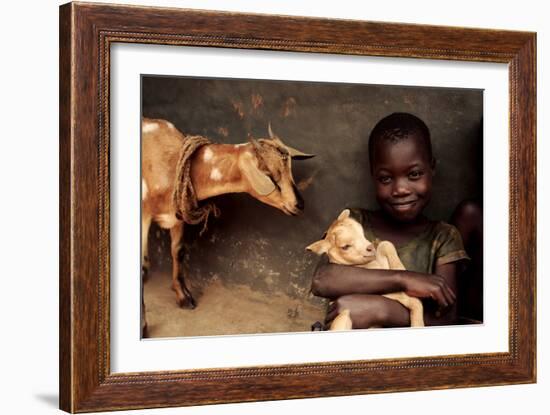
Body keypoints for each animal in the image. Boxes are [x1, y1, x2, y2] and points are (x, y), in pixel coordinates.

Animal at [142, 117, 314, 334]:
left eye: (289, 169)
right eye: (267, 173)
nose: (299, 204)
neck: (168, 160)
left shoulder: (177, 214)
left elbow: (178, 251)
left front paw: (183, 298)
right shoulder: (143, 213)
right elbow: (143, 269)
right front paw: (143, 326)